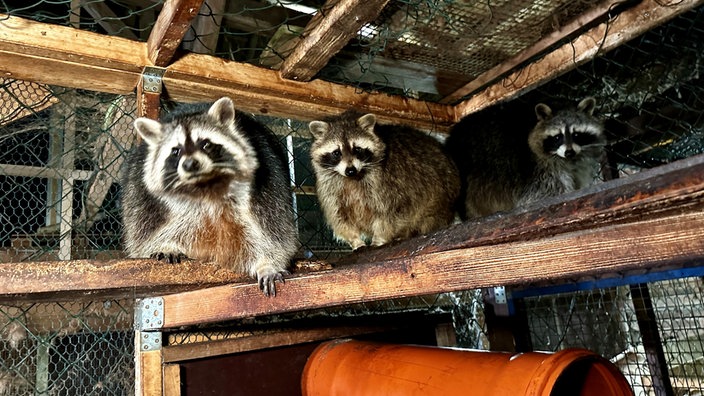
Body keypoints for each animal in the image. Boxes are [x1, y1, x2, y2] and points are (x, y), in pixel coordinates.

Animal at [121, 96, 296, 296]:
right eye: (176, 151)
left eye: (205, 144)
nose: (191, 164)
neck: (205, 187)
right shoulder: (143, 197)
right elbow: (143, 232)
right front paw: (165, 244)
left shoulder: (269, 186)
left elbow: (273, 232)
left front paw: (266, 263)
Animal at [310, 110, 462, 249]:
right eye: (337, 152)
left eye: (357, 149)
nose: (350, 170)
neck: (352, 178)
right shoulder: (331, 188)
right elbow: (339, 217)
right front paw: (355, 240)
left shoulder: (388, 183)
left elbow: (388, 214)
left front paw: (379, 238)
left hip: (442, 194)